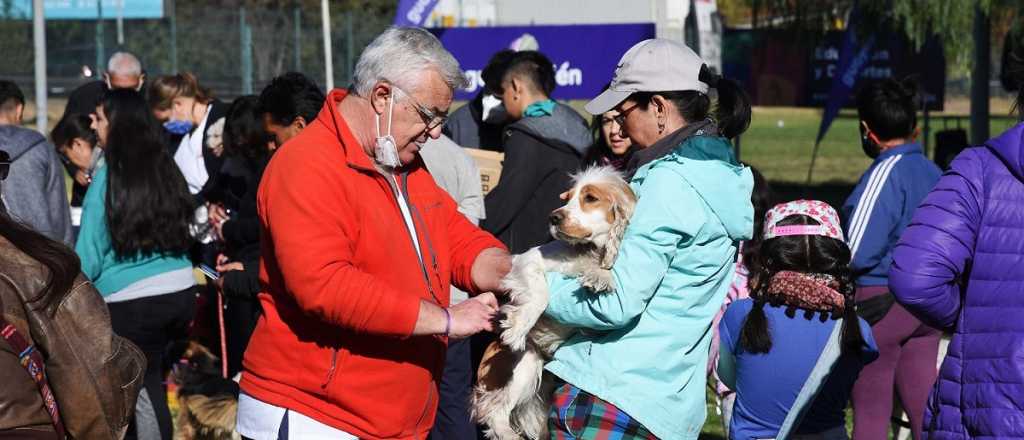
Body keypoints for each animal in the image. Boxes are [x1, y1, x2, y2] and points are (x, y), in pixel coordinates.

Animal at [468, 165, 630, 440]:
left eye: (590, 198)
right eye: (568, 197)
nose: (553, 217)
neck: (586, 250)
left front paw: (601, 276)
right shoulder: (528, 260)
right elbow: (541, 294)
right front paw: (518, 327)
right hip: (526, 362)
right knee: (493, 408)